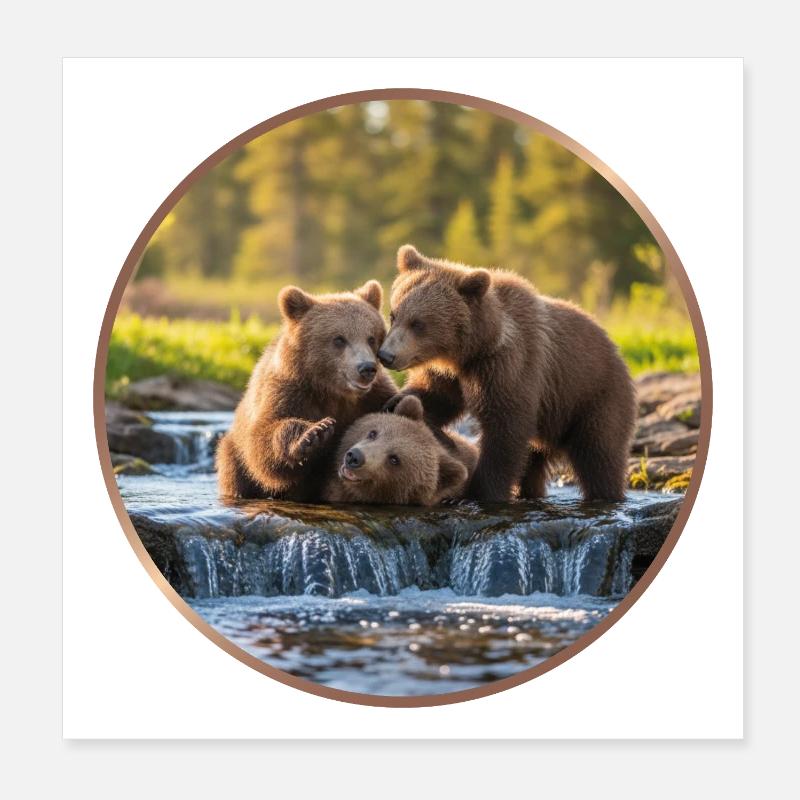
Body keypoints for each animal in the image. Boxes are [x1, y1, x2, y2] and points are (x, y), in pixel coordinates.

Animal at [216, 280, 397, 501]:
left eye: (371, 338)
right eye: (339, 339)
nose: (366, 368)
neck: (333, 391)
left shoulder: (373, 395)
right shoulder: (287, 390)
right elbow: (263, 440)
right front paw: (316, 432)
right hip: (233, 457)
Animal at [378, 245, 637, 503]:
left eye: (418, 323)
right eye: (393, 314)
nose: (385, 355)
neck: (474, 350)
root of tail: (617, 352)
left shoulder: (510, 367)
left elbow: (505, 430)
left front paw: (479, 492)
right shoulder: (453, 374)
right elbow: (438, 397)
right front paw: (396, 402)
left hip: (593, 397)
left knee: (599, 454)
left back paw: (606, 493)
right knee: (534, 463)